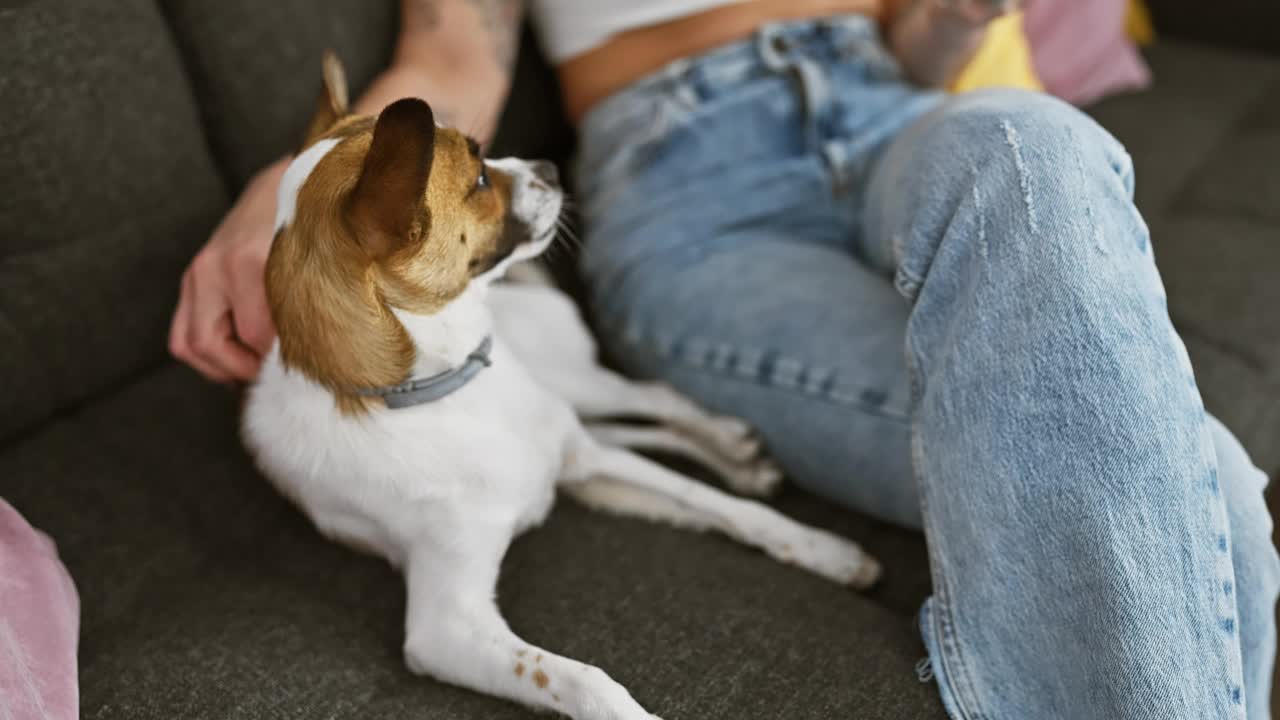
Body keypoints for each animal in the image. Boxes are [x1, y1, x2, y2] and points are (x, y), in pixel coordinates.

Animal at [240, 53, 880, 712]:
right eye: (478, 176)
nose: (548, 166)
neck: (452, 391)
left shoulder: (587, 461)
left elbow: (722, 506)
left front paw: (824, 550)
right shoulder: (450, 626)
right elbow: (580, 677)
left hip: (577, 387)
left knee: (650, 398)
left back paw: (729, 440)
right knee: (635, 422)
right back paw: (740, 457)